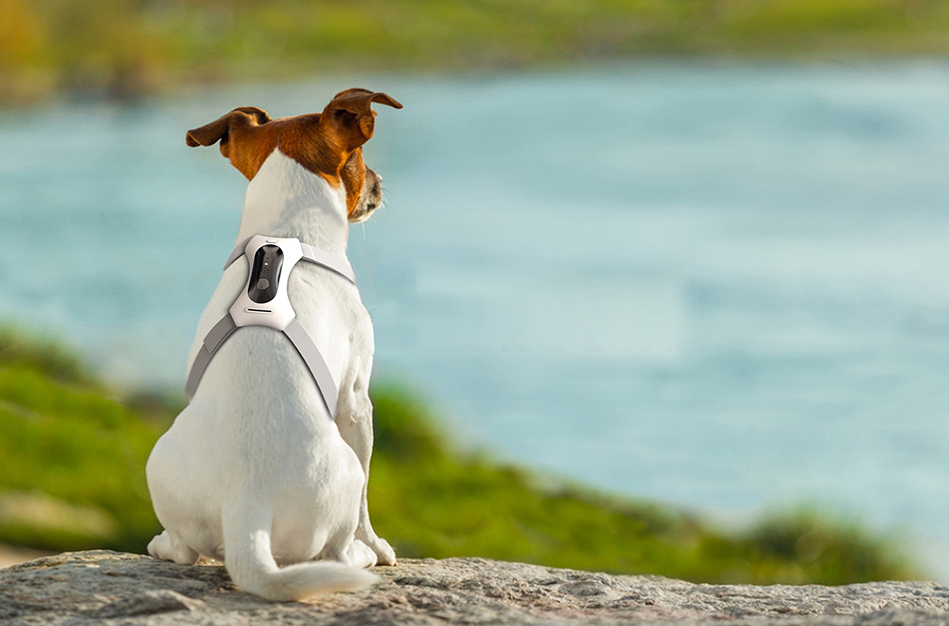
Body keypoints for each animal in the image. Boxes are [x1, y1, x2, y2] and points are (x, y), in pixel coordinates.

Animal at [143, 88, 400, 600]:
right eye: (361, 159)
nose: (381, 182)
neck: (287, 233)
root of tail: (247, 509)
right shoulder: (357, 402)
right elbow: (367, 502)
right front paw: (377, 546)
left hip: (159, 463)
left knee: (183, 548)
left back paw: (162, 544)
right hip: (343, 470)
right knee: (337, 548)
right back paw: (359, 555)